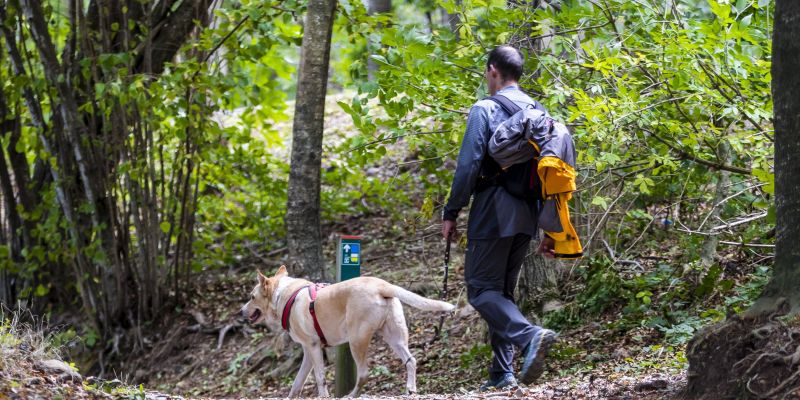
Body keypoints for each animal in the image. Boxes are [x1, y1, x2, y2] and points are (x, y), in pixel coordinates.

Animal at [241, 266, 456, 396]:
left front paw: (324, 396)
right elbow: (297, 384)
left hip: (356, 340)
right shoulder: (308, 352)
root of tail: (382, 285)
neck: (282, 295)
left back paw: (351, 395)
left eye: (251, 297)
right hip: (394, 336)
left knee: (364, 373)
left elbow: (320, 378)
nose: (240, 311)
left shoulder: (314, 347)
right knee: (411, 361)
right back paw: (410, 389)